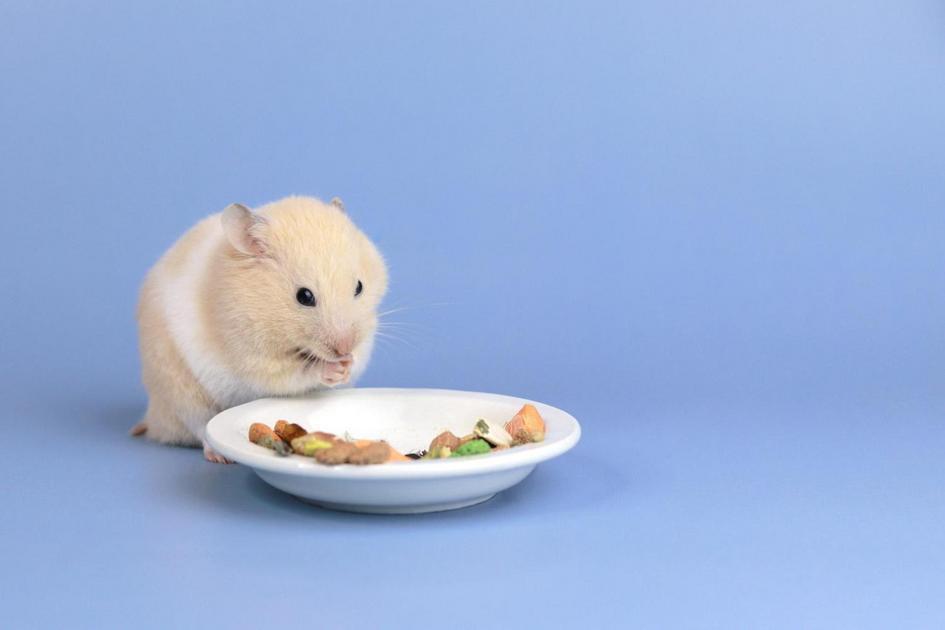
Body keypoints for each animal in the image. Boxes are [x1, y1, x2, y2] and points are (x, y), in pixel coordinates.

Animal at [131, 196, 388, 462]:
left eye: (359, 287)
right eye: (304, 296)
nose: (343, 349)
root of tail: (154, 420)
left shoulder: (366, 336)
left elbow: (357, 358)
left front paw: (347, 365)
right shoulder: (252, 359)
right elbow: (297, 372)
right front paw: (332, 368)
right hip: (181, 391)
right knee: (200, 427)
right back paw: (220, 456)